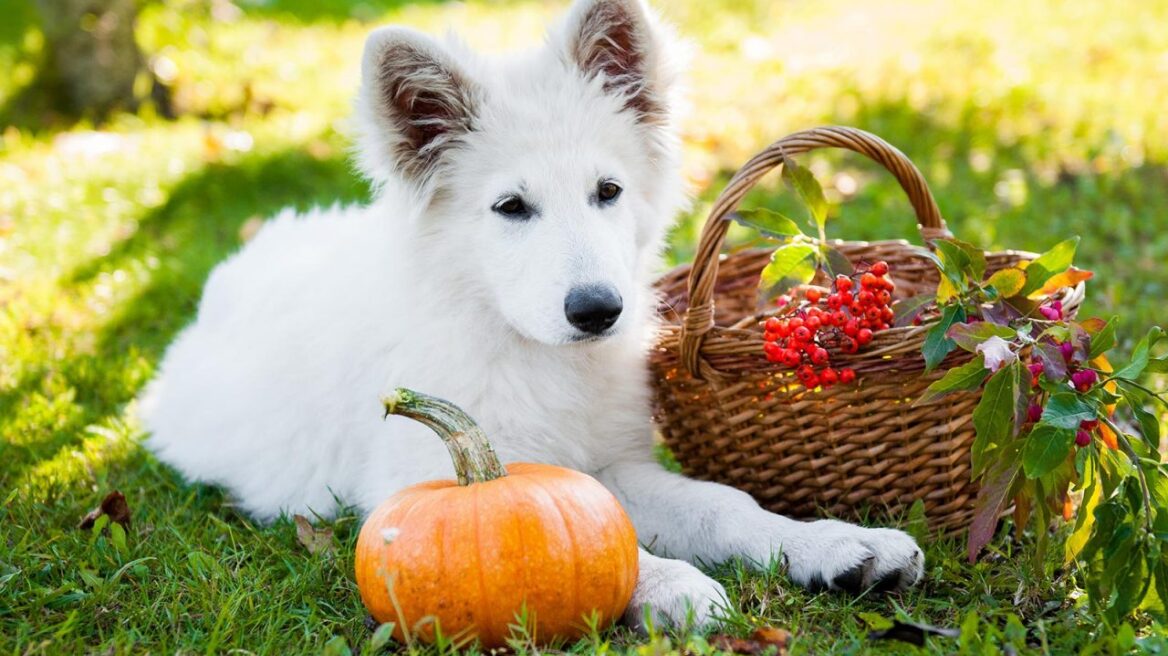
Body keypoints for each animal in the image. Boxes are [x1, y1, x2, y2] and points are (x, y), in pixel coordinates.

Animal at [136, 0, 920, 625]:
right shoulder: (425, 484)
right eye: (511, 207)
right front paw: (672, 587)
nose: (598, 311)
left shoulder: (610, 464)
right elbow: (603, 549)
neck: (523, 348)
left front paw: (833, 542)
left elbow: (723, 504)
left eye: (608, 191)